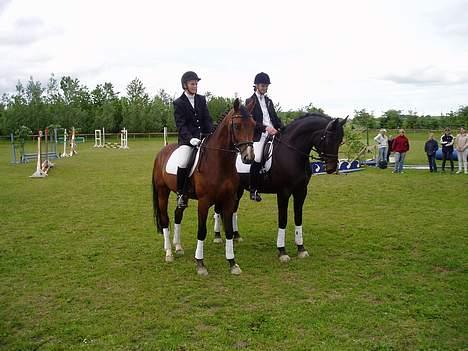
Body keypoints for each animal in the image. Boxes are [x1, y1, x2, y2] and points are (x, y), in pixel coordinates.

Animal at [153, 98, 256, 276]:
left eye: (254, 125)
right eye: (237, 126)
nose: (248, 157)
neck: (219, 161)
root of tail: (161, 152)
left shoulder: (228, 200)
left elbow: (229, 230)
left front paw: (232, 263)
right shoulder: (204, 202)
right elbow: (201, 231)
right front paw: (200, 264)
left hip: (182, 196)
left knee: (177, 214)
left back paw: (178, 247)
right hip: (162, 192)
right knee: (165, 219)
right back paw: (169, 253)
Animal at [214, 113, 346, 262]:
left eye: (340, 140)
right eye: (329, 139)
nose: (331, 168)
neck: (292, 152)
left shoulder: (301, 191)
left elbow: (298, 218)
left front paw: (301, 249)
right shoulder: (283, 192)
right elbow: (283, 220)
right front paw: (282, 251)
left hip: (238, 190)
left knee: (233, 211)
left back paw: (236, 236)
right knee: (218, 210)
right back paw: (218, 237)